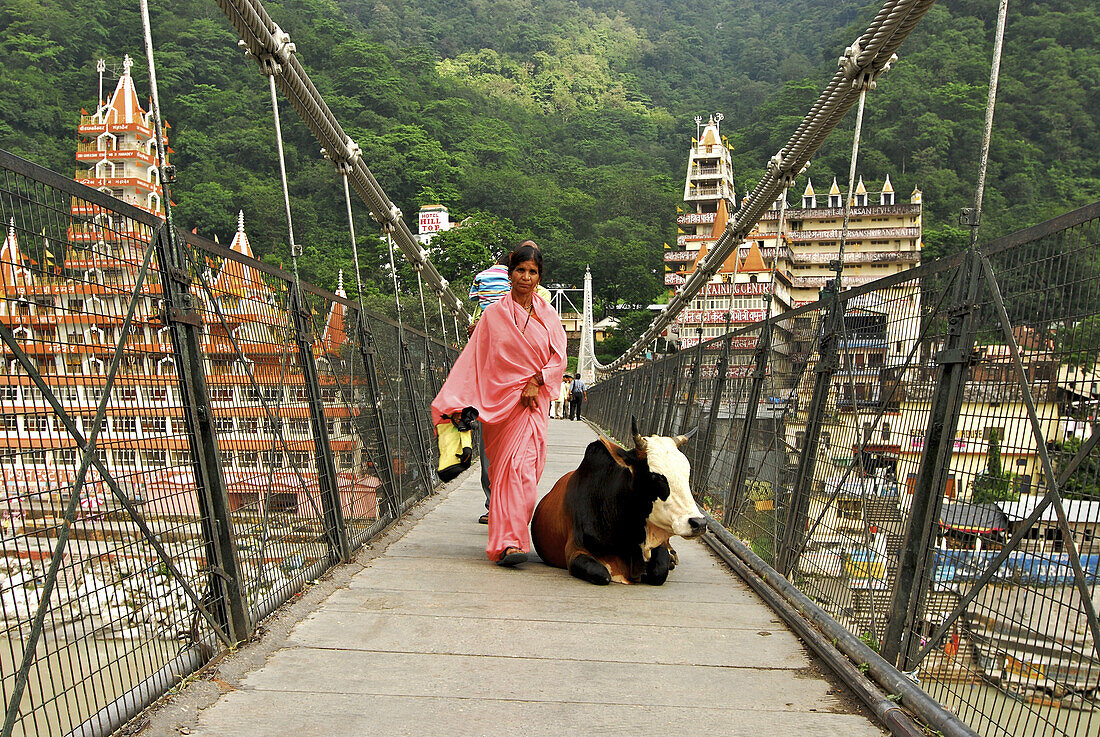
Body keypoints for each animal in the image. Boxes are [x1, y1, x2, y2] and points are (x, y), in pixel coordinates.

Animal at [530, 422, 704, 589]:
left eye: (687, 474)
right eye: (656, 477)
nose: (699, 523)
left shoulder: (657, 544)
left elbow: (659, 572)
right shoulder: (575, 551)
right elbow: (602, 574)